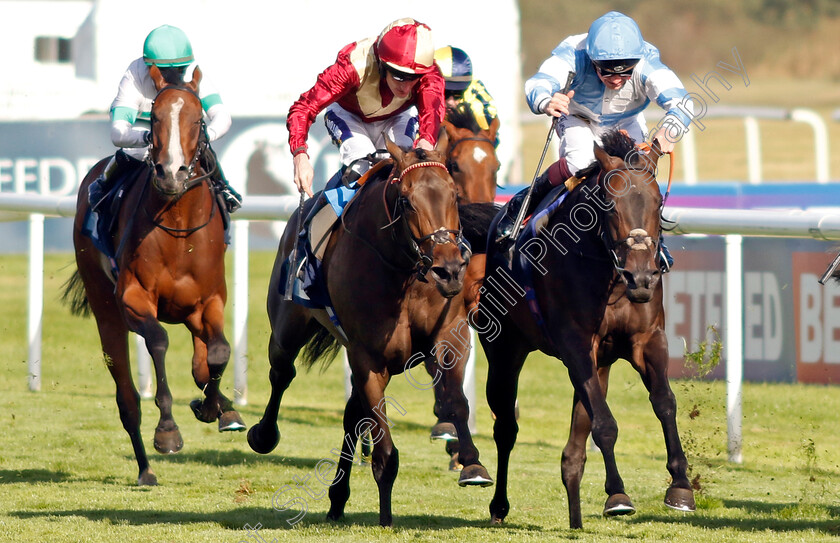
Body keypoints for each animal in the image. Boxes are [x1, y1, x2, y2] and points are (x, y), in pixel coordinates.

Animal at [63, 65, 241, 488]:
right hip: (105, 307)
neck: (178, 227)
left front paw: (216, 407)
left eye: (197, 119)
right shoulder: (133, 298)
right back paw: (145, 468)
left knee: (201, 361)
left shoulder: (210, 301)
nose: (172, 173)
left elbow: (218, 353)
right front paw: (168, 432)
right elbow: (158, 342)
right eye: (155, 118)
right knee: (127, 398)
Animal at [244, 134, 492, 524]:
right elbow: (384, 447)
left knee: (350, 416)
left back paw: (337, 499)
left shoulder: (449, 337)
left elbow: (455, 401)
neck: (404, 272)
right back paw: (264, 435)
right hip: (287, 327)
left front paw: (472, 464)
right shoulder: (369, 359)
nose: (450, 270)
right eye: (406, 200)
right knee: (282, 373)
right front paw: (386, 515)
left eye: (453, 194)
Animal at [480, 130, 696, 528]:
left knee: (574, 446)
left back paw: (576, 515)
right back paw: (499, 505)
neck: (611, 279)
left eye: (658, 203)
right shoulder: (576, 346)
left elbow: (664, 403)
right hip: (503, 350)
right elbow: (605, 423)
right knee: (505, 428)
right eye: (609, 205)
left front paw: (680, 486)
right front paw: (619, 494)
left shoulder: (646, 340)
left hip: (600, 363)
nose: (641, 278)